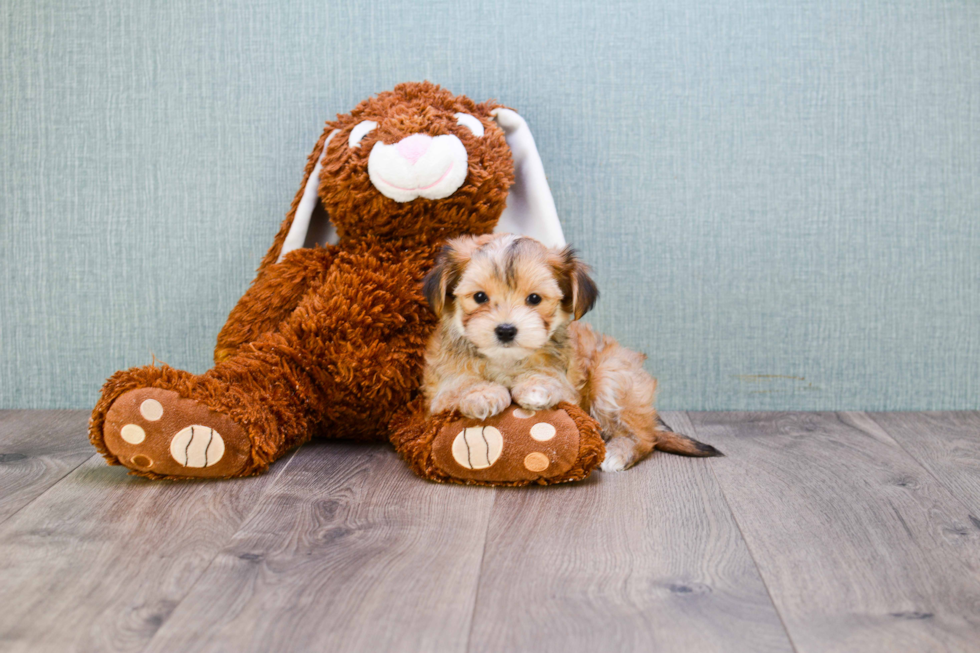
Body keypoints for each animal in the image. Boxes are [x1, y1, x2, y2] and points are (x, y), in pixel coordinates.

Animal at [422, 233, 720, 468]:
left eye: (534, 299)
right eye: (479, 297)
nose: (506, 330)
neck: (506, 360)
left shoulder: (568, 388)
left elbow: (548, 380)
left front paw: (535, 387)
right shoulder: (437, 393)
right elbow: (460, 384)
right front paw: (483, 394)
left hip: (612, 375)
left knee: (645, 437)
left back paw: (617, 454)